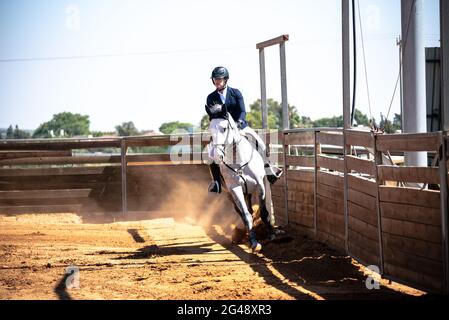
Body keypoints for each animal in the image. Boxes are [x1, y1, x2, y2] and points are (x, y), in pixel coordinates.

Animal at [208, 113, 278, 252]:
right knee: (242, 211)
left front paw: (272, 234)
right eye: (210, 130)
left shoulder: (260, 186)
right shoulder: (235, 189)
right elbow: (246, 216)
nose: (217, 155)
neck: (239, 161)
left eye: (224, 128)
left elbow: (264, 212)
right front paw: (254, 243)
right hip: (232, 195)